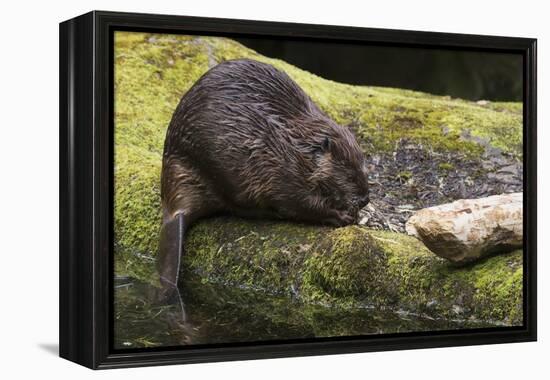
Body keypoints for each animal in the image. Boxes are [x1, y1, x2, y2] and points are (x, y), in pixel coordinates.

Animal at [157, 58, 368, 300]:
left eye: (365, 167)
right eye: (349, 174)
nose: (365, 199)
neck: (297, 145)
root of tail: (174, 211)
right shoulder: (280, 170)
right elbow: (302, 203)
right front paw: (344, 216)